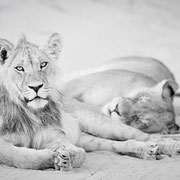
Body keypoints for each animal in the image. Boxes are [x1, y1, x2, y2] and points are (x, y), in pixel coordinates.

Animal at [1, 33, 180, 170]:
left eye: (43, 65)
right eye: (19, 68)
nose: (36, 86)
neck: (29, 110)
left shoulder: (53, 136)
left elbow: (79, 154)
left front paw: (62, 158)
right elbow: (22, 158)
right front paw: (56, 157)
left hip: (103, 125)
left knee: (148, 137)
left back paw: (170, 147)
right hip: (89, 139)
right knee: (122, 144)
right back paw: (146, 151)